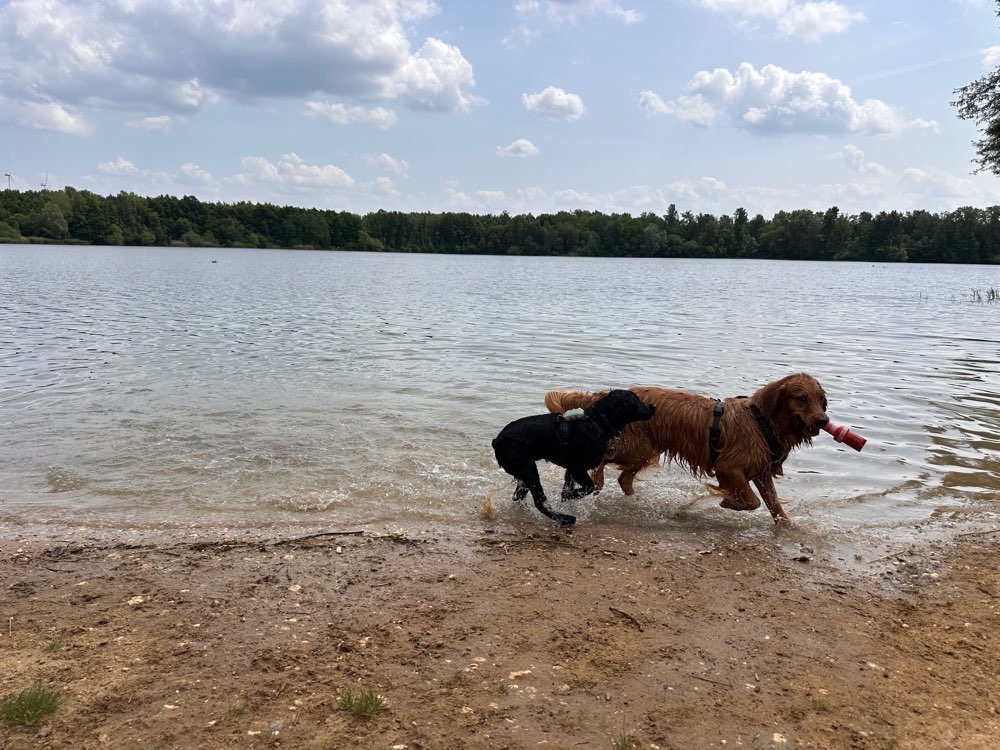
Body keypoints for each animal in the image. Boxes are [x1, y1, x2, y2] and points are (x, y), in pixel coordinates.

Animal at [492, 389, 656, 526]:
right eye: (637, 400)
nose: (653, 406)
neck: (598, 423)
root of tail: (496, 441)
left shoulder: (571, 470)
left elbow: (567, 489)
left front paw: (567, 497)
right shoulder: (577, 468)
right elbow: (588, 487)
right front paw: (571, 496)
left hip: (524, 473)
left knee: (519, 496)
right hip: (529, 470)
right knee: (540, 502)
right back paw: (565, 519)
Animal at [544, 373, 829, 523]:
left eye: (821, 399)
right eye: (802, 398)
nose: (823, 420)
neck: (762, 421)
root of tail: (606, 394)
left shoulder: (761, 472)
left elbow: (773, 505)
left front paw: (790, 528)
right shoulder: (728, 467)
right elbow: (752, 500)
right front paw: (728, 502)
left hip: (645, 449)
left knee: (624, 478)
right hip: (632, 446)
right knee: (603, 461)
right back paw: (597, 482)